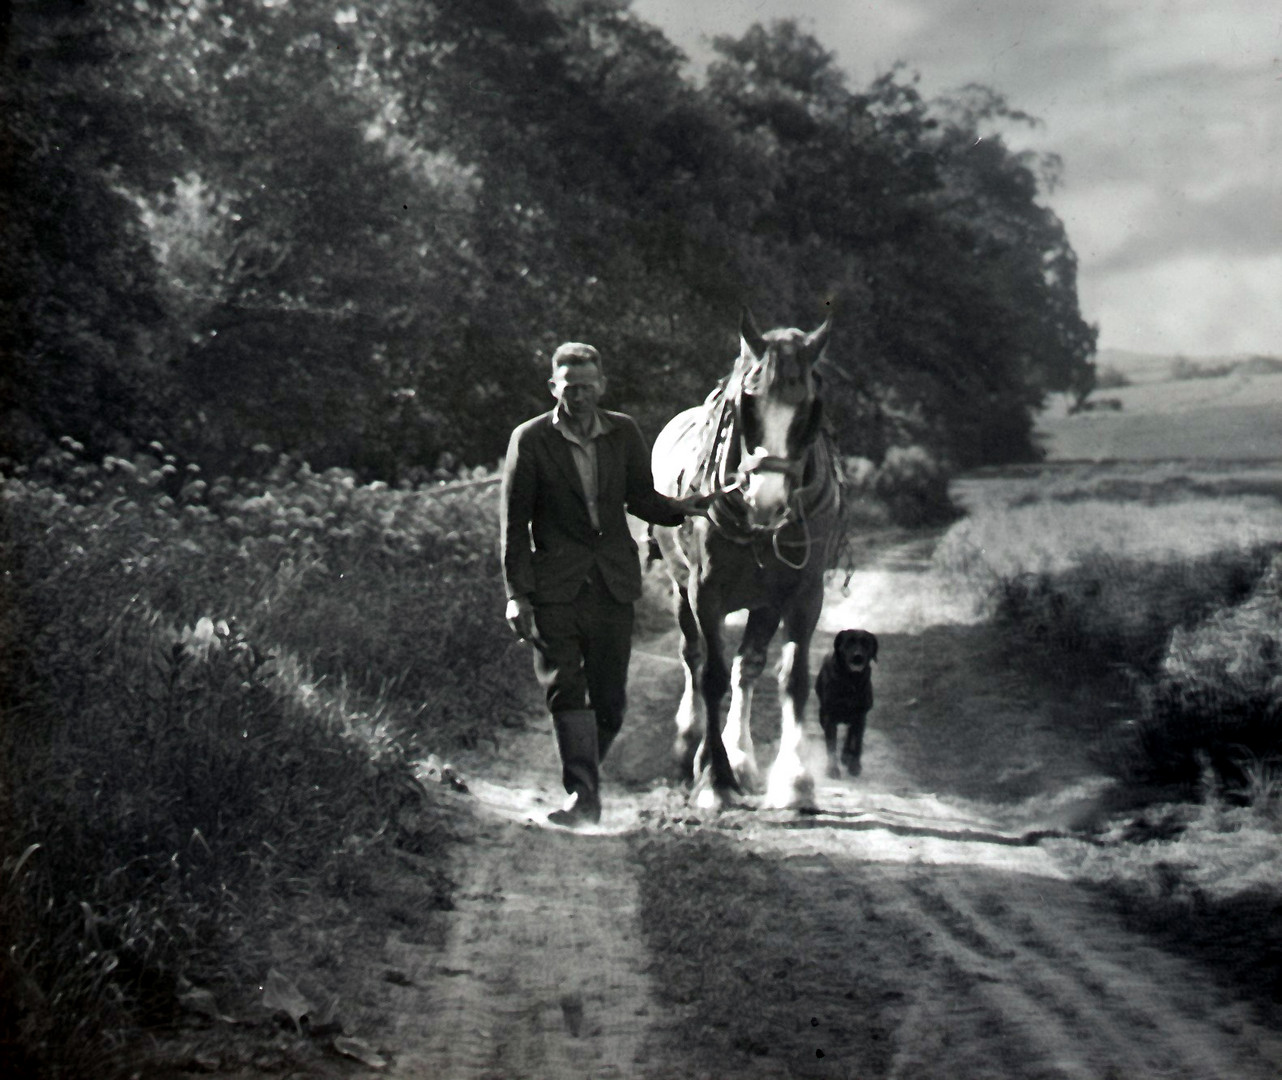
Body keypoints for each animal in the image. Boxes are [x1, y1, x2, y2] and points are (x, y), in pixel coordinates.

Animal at [651, 307, 840, 805]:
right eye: (747, 405)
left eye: (808, 410)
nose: (766, 502)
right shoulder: (706, 591)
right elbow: (711, 675)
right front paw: (714, 777)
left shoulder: (802, 592)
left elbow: (791, 676)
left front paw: (794, 780)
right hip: (681, 587)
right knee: (693, 657)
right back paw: (690, 745)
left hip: (763, 601)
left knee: (747, 667)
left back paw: (739, 754)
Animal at [815, 625, 876, 779]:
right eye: (849, 642)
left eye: (866, 643)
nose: (858, 656)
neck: (851, 681)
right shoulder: (829, 718)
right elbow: (831, 746)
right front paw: (832, 769)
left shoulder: (860, 716)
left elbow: (857, 743)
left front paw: (855, 765)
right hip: (822, 715)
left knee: (850, 734)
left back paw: (846, 756)